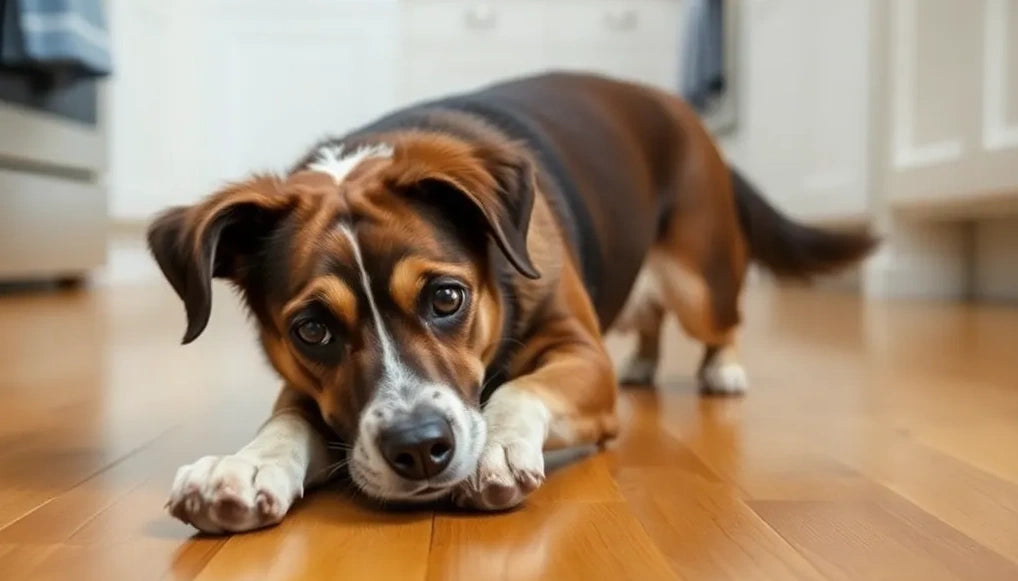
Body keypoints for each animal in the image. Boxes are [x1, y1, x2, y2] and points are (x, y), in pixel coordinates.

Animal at [147, 71, 871, 533]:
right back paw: (644, 362)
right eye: (312, 330)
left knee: (718, 318)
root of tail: (674, 103)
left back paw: (722, 369)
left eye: (446, 297)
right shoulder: (307, 386)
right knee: (648, 316)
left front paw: (495, 445)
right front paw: (241, 467)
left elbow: (520, 389)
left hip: (701, 278)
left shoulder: (583, 356)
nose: (419, 449)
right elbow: (286, 421)